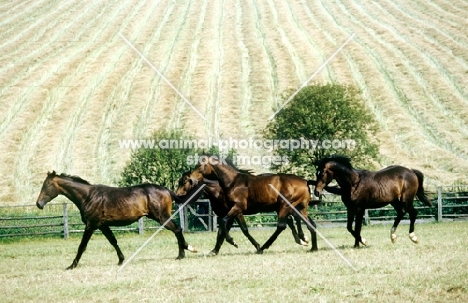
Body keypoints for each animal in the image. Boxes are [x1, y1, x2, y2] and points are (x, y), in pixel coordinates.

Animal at [36, 172, 196, 270]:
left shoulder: (91, 225)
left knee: (177, 229)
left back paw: (183, 252)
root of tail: (167, 190)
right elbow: (113, 241)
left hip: (161, 217)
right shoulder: (103, 225)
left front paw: (71, 266)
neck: (88, 196)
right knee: (177, 229)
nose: (39, 204)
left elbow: (82, 246)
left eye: (47, 185)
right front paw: (121, 260)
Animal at [181, 157, 320, 254]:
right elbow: (236, 228)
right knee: (310, 224)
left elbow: (225, 223)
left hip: (285, 206)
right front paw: (215, 250)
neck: (233, 183)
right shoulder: (236, 211)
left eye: (199, 166)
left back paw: (263, 247)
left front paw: (233, 242)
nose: (192, 179)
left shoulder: (237, 208)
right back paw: (312, 247)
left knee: (282, 226)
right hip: (299, 208)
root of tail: (305, 182)